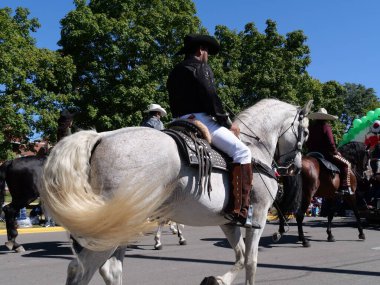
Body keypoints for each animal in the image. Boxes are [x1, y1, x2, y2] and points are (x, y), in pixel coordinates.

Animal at [39, 98, 312, 284]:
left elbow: (241, 256)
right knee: (82, 270)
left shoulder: (228, 222)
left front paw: (216, 280)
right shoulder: (258, 215)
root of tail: (102, 137)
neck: (254, 149)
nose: (295, 167)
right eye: (307, 131)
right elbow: (252, 261)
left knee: (110, 270)